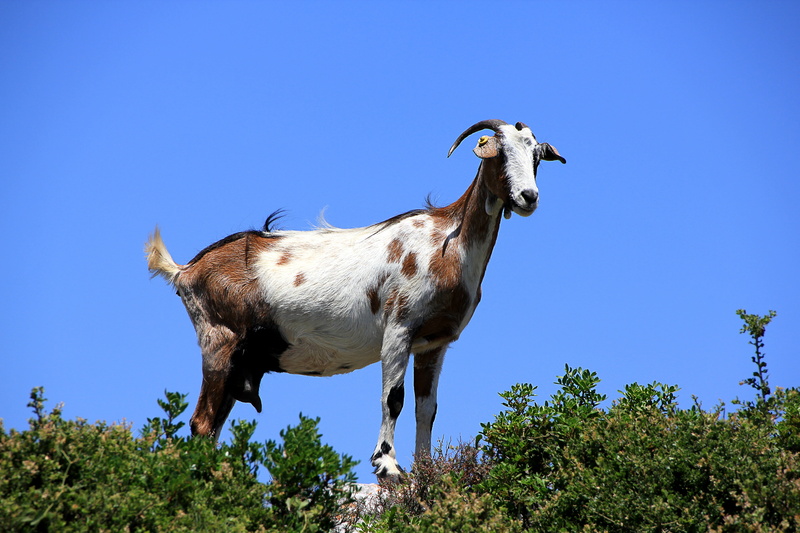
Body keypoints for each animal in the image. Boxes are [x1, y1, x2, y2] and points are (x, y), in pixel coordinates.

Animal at [145, 119, 565, 479]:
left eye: (536, 156)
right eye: (500, 152)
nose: (528, 197)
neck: (448, 242)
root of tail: (185, 270)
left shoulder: (434, 343)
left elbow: (426, 409)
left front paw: (425, 472)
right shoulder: (398, 328)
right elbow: (393, 399)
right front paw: (388, 465)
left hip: (239, 361)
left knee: (213, 426)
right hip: (219, 343)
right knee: (201, 423)